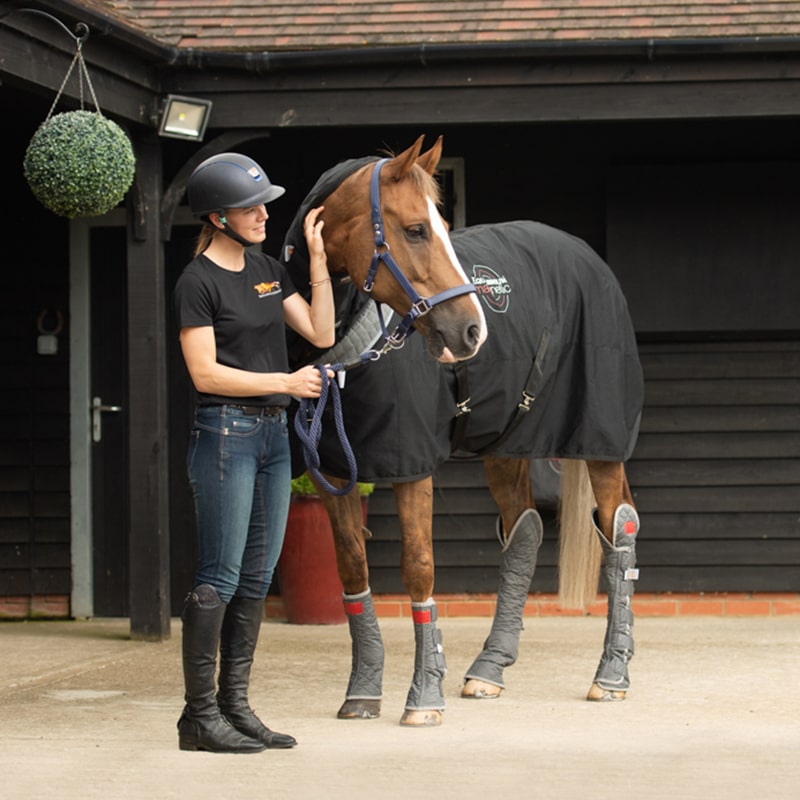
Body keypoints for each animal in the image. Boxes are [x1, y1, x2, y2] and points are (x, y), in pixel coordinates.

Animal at [282, 136, 644, 724]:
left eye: (440, 227)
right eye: (415, 229)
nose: (472, 331)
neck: (346, 351)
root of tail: (587, 257)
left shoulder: (412, 466)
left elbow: (419, 566)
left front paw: (423, 696)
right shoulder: (333, 472)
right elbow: (353, 570)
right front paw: (362, 691)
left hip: (600, 439)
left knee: (620, 525)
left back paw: (611, 674)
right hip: (508, 444)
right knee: (523, 530)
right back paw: (489, 668)